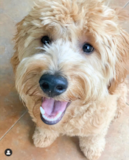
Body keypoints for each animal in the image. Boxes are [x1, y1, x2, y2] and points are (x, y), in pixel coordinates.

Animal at [11, 0, 129, 159]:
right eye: (45, 40)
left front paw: (92, 149)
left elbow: (94, 135)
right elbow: (44, 126)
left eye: (88, 47)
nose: (52, 83)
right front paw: (43, 136)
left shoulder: (99, 121)